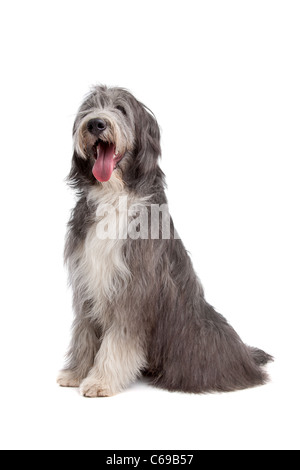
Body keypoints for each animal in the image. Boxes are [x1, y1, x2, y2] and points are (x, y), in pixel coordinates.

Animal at [57, 85, 274, 396]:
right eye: (89, 109)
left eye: (121, 109)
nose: (96, 123)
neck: (114, 194)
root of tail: (244, 355)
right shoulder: (87, 281)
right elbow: (84, 333)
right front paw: (76, 373)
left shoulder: (134, 288)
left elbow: (118, 340)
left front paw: (101, 381)